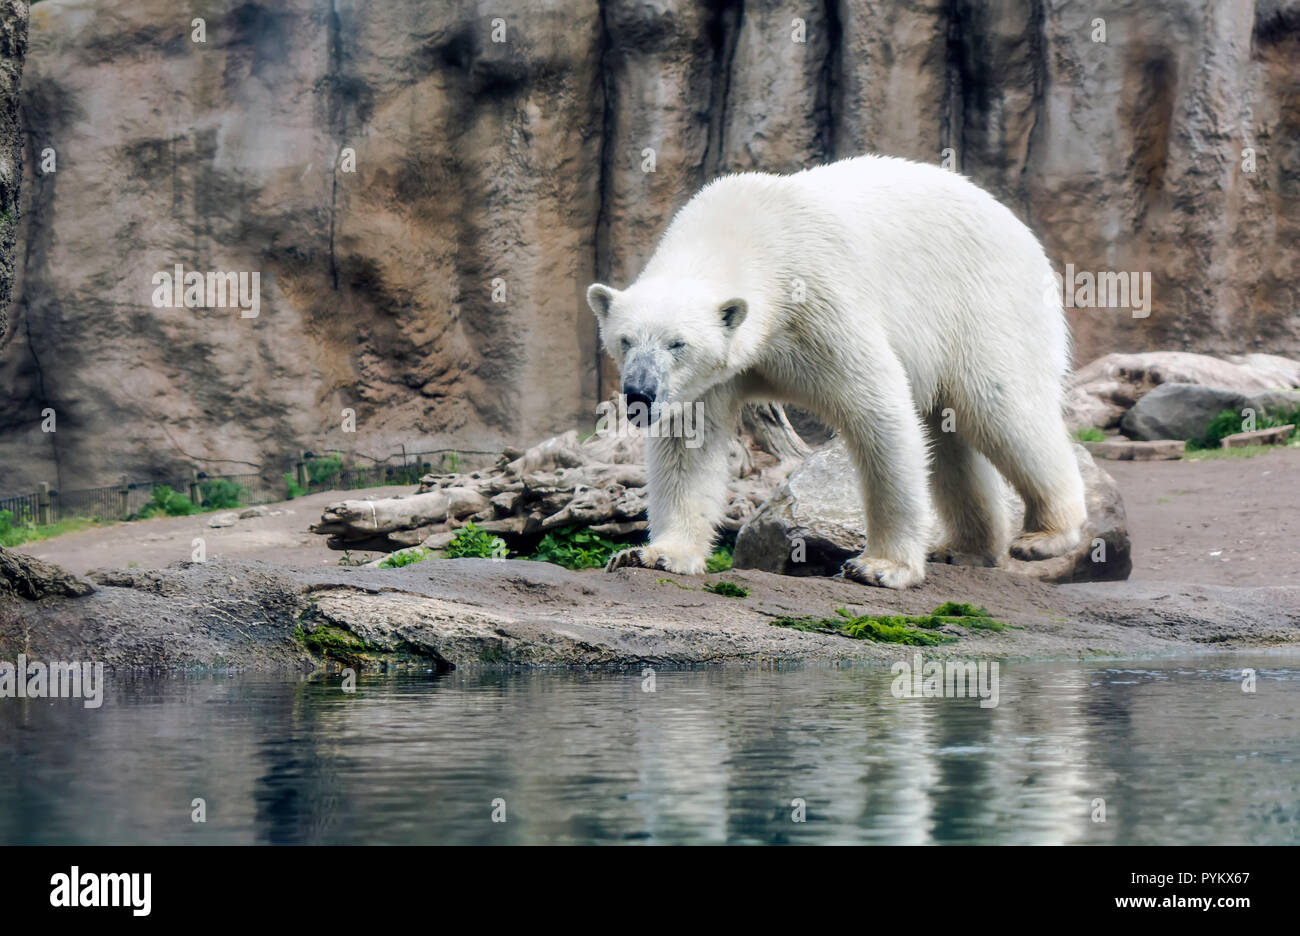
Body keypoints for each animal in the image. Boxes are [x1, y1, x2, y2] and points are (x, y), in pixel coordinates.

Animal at [586, 154, 1087, 589]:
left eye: (678, 344)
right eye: (625, 340)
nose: (639, 393)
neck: (748, 232)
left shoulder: (818, 302)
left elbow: (877, 408)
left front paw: (880, 567)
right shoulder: (711, 376)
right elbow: (688, 441)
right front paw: (655, 554)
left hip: (987, 304)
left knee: (1002, 408)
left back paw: (1045, 536)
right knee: (951, 434)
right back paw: (965, 547)